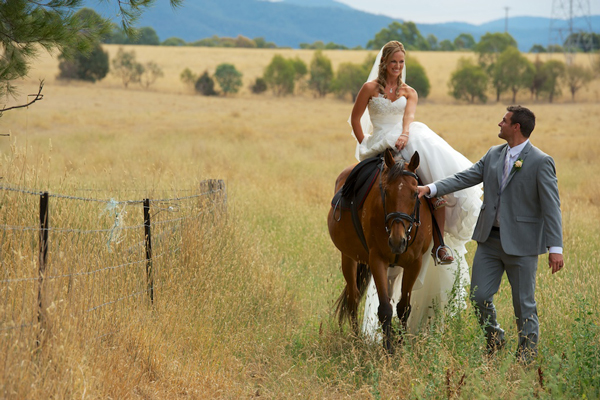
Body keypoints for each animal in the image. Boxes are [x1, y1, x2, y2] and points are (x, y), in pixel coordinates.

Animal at [328, 148, 432, 352]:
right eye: (386, 191)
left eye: (414, 193)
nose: (397, 241)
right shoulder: (377, 260)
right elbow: (384, 309)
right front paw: (389, 350)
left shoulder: (414, 263)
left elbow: (403, 307)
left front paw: (400, 345)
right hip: (349, 257)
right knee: (353, 298)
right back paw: (357, 339)